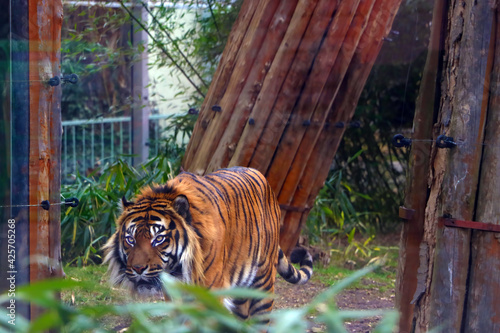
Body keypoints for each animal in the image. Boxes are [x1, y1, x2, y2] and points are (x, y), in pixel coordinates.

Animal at [102, 167, 312, 318]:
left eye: (158, 239)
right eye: (130, 239)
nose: (138, 269)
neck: (178, 272)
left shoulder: (209, 294)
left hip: (263, 283)